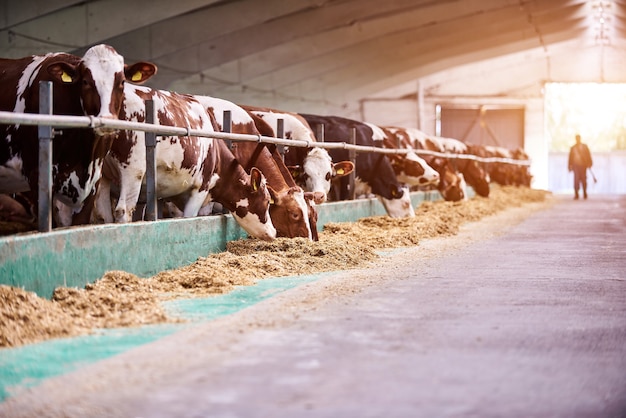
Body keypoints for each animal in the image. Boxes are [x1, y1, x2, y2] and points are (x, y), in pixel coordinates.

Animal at [93, 85, 276, 242]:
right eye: (267, 201)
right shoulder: (201, 187)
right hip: (133, 169)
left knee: (104, 214)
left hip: (102, 174)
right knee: (123, 210)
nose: (274, 232)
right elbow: (189, 218)